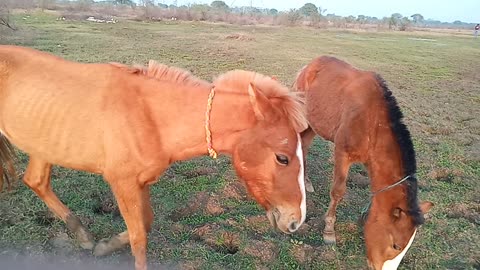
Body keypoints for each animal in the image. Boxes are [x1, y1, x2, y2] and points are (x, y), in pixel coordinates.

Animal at [0, 46, 308, 270]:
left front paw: (104, 246)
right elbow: (139, 237)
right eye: (282, 158)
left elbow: (145, 224)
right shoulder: (122, 182)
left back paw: (83, 236)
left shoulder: (142, 181)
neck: (150, 115)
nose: (296, 220)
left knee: (36, 181)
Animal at [294, 55, 434, 270]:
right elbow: (338, 191)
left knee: (305, 147)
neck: (372, 123)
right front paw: (329, 231)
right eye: (396, 245)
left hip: (314, 124)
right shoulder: (342, 154)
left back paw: (307, 181)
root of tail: (308, 66)